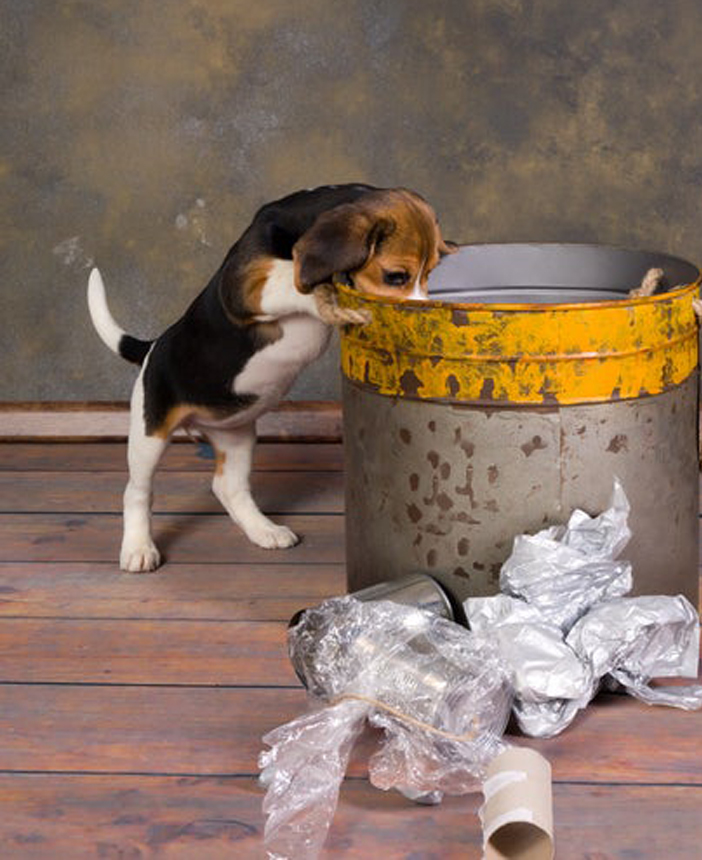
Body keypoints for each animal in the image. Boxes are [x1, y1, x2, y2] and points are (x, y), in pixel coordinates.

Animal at [88, 183, 454, 572]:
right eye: (396, 276)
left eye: (430, 274)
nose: (421, 316)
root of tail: (152, 347)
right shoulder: (244, 286)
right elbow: (294, 282)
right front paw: (327, 294)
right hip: (150, 432)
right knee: (137, 491)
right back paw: (138, 548)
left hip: (238, 436)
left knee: (228, 488)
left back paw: (264, 531)